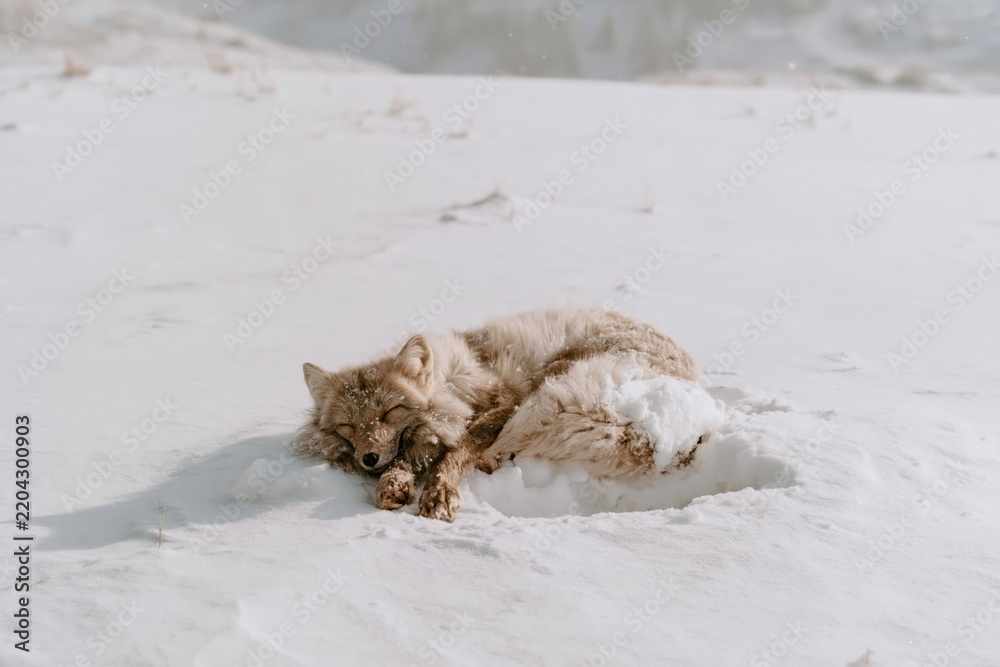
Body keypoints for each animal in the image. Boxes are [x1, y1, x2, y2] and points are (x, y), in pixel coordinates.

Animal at [290, 307, 706, 521]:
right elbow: (410, 459)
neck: (449, 381)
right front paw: (393, 484)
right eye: (347, 426)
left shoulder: (505, 403)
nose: (369, 458)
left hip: (553, 382)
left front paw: (439, 492)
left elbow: (455, 450)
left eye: (390, 412)